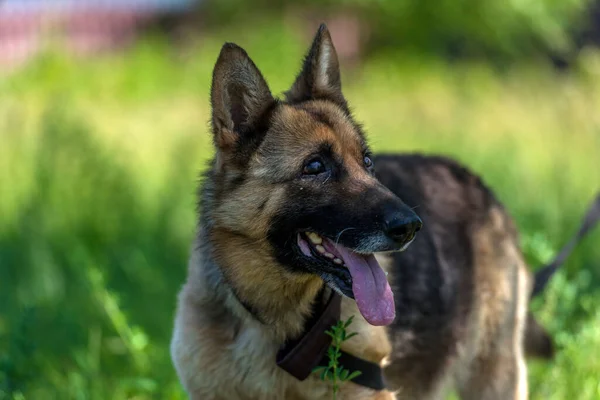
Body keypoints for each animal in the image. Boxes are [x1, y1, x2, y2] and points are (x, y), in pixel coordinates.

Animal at [170, 25, 600, 400]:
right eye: (314, 167)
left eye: (367, 162)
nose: (411, 227)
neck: (269, 318)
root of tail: (476, 183)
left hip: (495, 377)